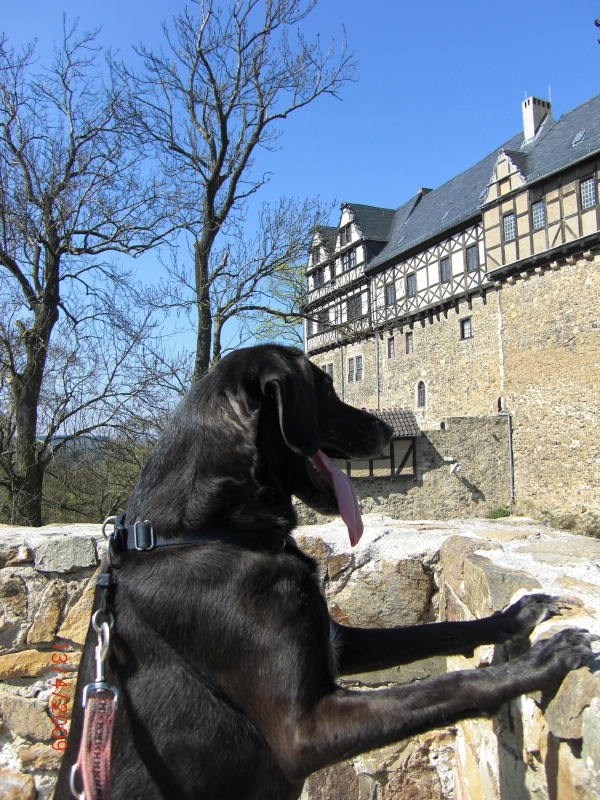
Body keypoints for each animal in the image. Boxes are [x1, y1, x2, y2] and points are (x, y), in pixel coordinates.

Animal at [57, 346, 596, 800]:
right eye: (326, 388)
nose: (385, 430)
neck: (207, 531)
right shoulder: (306, 730)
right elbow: (448, 687)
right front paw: (540, 663)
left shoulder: (334, 641)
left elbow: (435, 631)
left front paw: (515, 617)